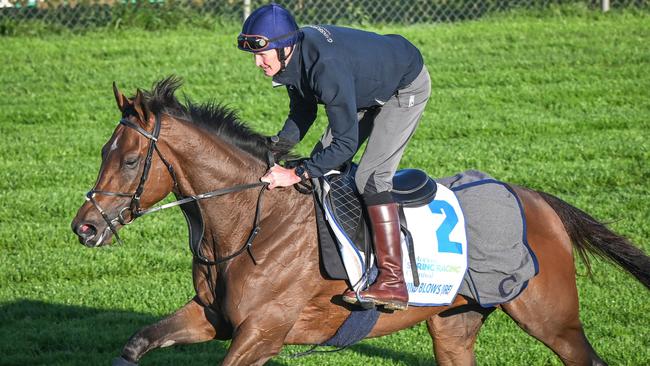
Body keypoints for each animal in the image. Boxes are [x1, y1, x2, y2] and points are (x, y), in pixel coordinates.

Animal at [71, 76, 648, 364]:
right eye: (102, 152)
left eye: (129, 160)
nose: (85, 227)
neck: (251, 226)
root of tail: (535, 198)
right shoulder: (213, 317)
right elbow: (137, 341)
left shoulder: (262, 333)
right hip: (454, 324)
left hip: (551, 318)